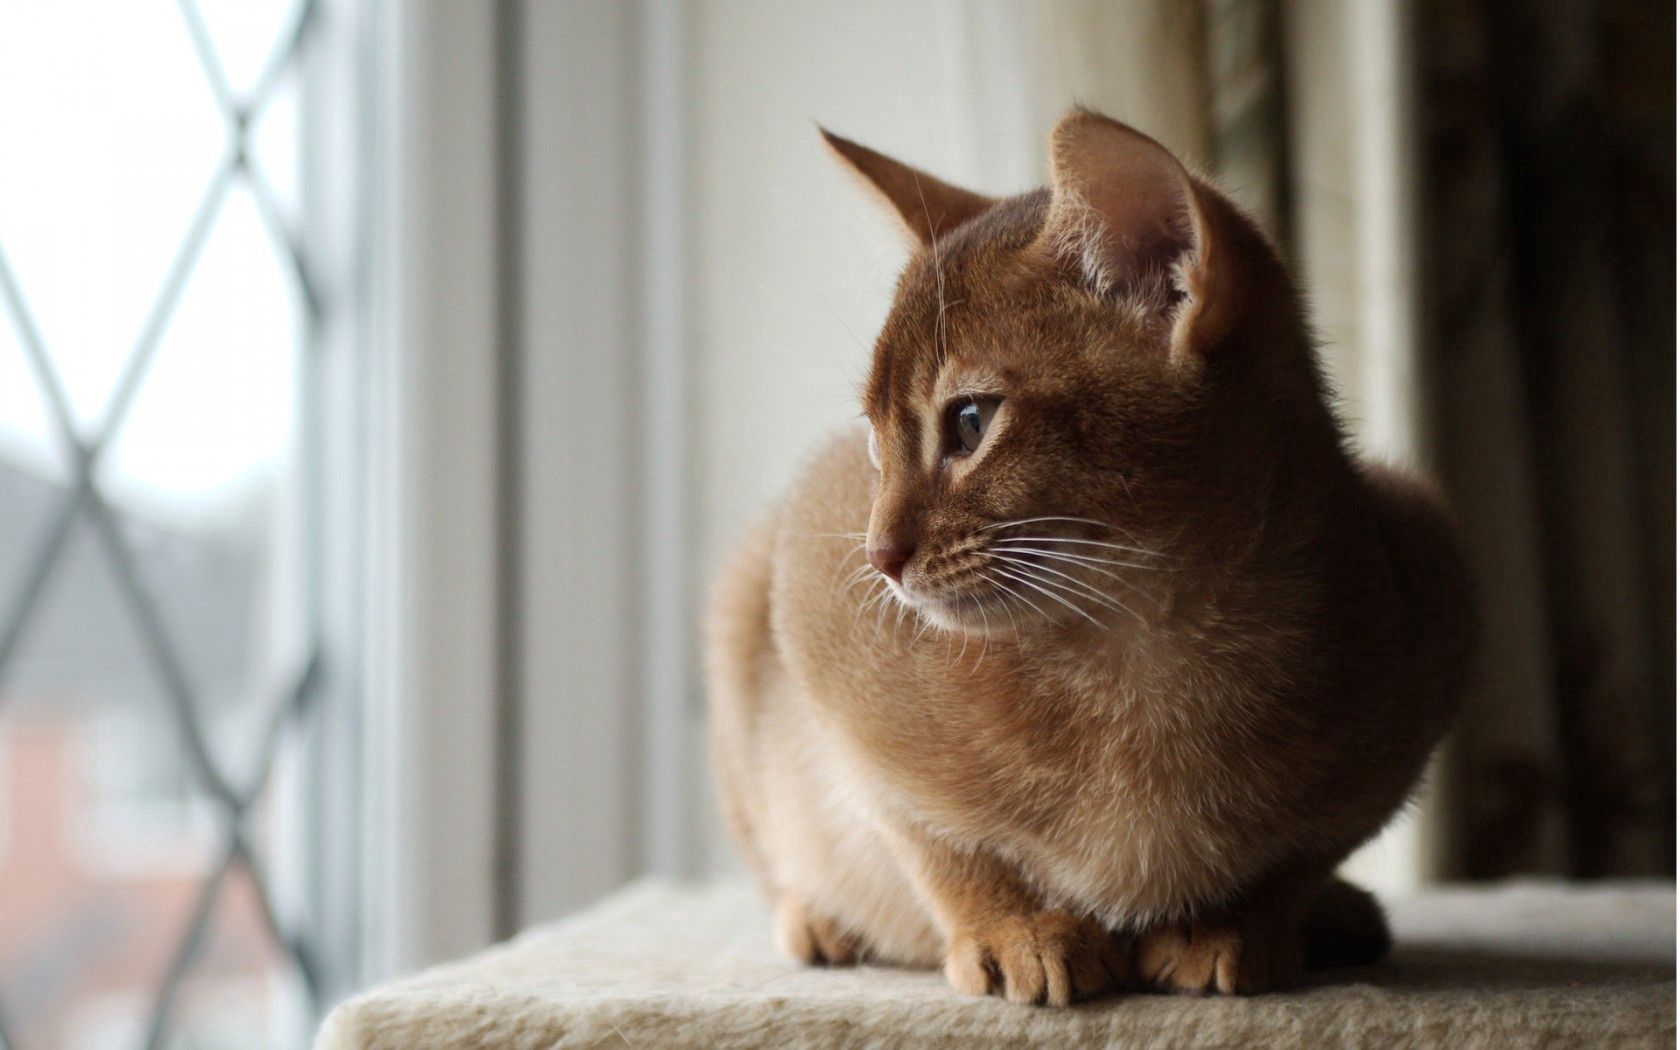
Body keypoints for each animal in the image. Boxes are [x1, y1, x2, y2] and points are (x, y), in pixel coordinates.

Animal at [702, 108, 1478, 1007]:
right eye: (871, 443)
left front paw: (1234, 924)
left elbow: (1302, 856)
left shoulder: (1430, 589)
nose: (879, 556)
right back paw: (817, 919)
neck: (1143, 656)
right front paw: (1015, 929)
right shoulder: (814, 615)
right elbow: (934, 841)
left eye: (970, 422)